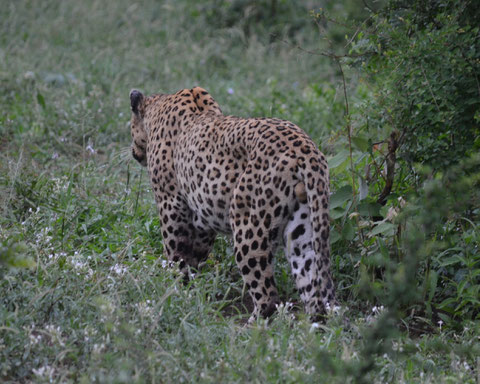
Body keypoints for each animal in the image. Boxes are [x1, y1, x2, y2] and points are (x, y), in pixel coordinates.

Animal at [129, 87, 336, 320]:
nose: (133, 152)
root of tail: (307, 150)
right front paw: (190, 288)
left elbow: (176, 253)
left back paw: (250, 325)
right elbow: (196, 255)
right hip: (302, 229)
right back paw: (309, 326)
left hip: (249, 228)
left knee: (268, 296)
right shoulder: (203, 218)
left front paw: (176, 290)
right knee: (312, 289)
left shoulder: (171, 204)